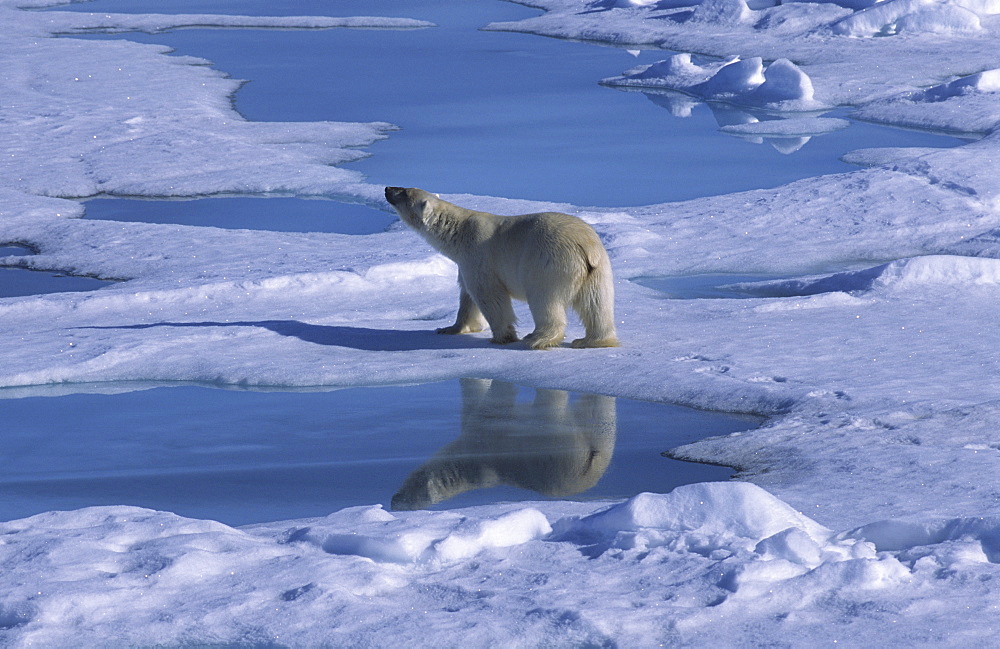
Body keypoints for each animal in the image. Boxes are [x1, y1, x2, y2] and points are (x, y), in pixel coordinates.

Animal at [382, 186, 616, 350]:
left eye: (404, 192)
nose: (386, 188)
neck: (459, 232)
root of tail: (585, 247)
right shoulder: (465, 263)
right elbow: (467, 296)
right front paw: (449, 328)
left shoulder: (478, 255)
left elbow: (489, 295)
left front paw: (502, 337)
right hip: (598, 269)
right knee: (597, 302)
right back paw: (593, 340)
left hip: (549, 263)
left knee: (544, 299)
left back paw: (537, 338)